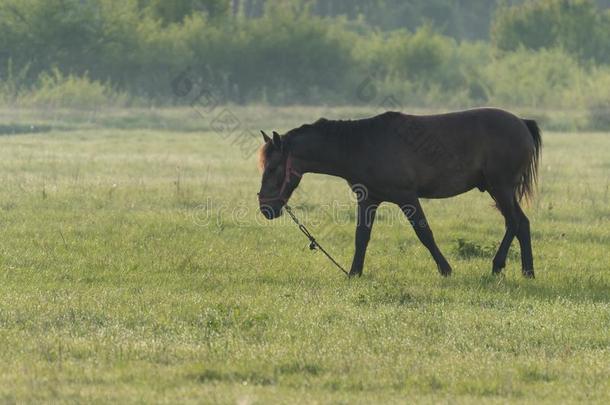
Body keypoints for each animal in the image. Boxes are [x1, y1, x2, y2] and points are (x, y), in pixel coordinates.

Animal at [254, 107, 540, 278]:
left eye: (273, 167)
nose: (266, 207)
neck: (361, 145)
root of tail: (522, 123)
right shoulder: (368, 200)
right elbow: (361, 237)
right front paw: (354, 273)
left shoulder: (407, 197)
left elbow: (424, 233)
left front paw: (445, 269)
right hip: (499, 190)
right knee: (522, 223)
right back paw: (527, 271)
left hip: (500, 187)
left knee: (514, 223)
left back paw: (497, 266)